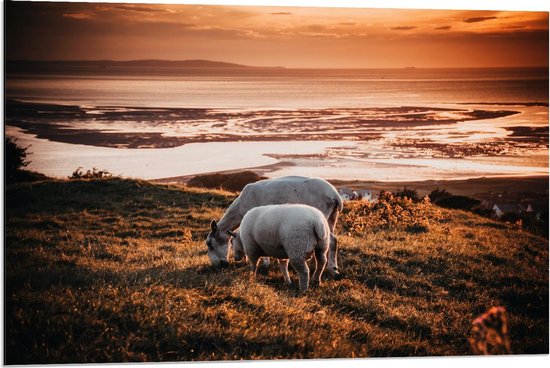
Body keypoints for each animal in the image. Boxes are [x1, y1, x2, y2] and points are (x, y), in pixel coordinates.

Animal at [207, 175, 342, 276]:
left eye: (210, 244)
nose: (217, 266)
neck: (239, 210)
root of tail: (335, 195)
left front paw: (264, 263)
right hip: (331, 217)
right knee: (334, 240)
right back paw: (328, 267)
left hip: (322, 216)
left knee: (331, 240)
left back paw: (333, 270)